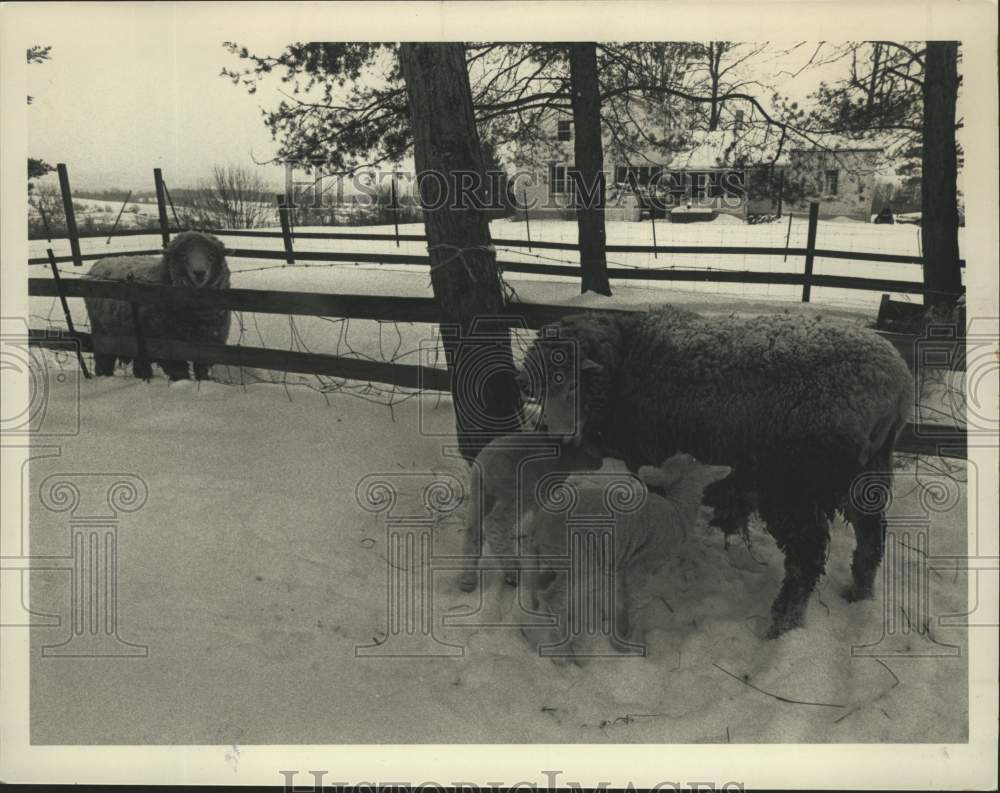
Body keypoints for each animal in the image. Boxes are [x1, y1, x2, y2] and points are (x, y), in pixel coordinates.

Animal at [83, 231, 231, 381]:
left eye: (212, 255)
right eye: (182, 255)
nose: (200, 273)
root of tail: (99, 262)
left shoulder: (208, 344)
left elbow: (202, 371)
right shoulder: (168, 348)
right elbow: (180, 373)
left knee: (139, 366)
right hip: (103, 333)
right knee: (103, 361)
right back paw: (105, 376)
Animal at [458, 433, 605, 592]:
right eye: (590, 452)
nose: (601, 463)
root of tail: (485, 463)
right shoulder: (543, 492)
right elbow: (539, 514)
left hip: (480, 495)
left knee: (472, 530)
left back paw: (467, 580)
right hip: (517, 495)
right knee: (494, 524)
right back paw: (512, 569)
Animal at [517, 305, 913, 638]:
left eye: (573, 382)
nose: (552, 434)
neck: (627, 365)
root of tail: (896, 382)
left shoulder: (652, 458)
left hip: (796, 487)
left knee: (806, 560)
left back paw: (783, 624)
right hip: (867, 474)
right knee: (871, 538)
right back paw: (859, 594)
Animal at [519, 453, 732, 661]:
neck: (678, 510)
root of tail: (537, 525)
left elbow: (626, 598)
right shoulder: (644, 561)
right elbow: (637, 600)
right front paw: (636, 646)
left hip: (554, 557)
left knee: (538, 589)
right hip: (579, 560)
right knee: (553, 599)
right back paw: (563, 655)